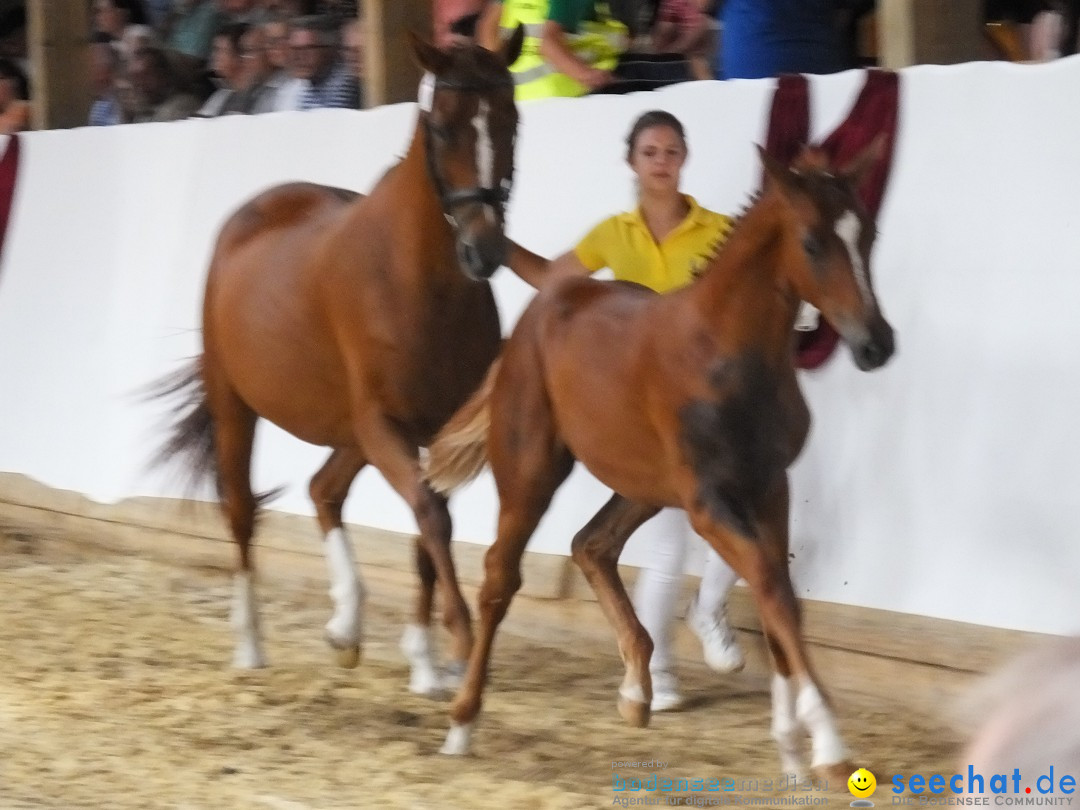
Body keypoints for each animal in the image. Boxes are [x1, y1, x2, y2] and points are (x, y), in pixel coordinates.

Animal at [152, 28, 522, 695]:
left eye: (510, 120)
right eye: (442, 127)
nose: (484, 251)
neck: (418, 280)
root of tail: (254, 211)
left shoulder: (434, 431)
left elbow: (424, 532)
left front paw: (425, 665)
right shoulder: (384, 423)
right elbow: (431, 518)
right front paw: (458, 640)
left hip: (352, 430)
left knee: (323, 490)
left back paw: (346, 627)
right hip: (238, 405)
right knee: (242, 510)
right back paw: (251, 644)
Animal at [427, 141, 894, 781]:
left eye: (867, 233)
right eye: (813, 242)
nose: (877, 345)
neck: (727, 355)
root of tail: (543, 308)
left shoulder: (768, 488)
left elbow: (777, 596)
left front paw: (791, 749)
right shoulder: (708, 501)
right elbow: (775, 592)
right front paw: (826, 744)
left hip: (643, 484)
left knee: (591, 544)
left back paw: (636, 689)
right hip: (533, 470)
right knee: (501, 575)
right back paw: (461, 723)